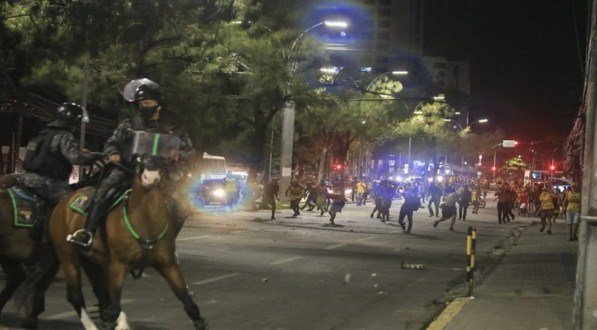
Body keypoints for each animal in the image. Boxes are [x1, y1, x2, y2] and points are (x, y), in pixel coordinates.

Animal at [47, 159, 205, 328]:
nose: (150, 177)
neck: (146, 222)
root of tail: (64, 201)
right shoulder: (119, 265)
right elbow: (113, 309)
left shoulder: (168, 265)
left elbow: (190, 306)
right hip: (68, 256)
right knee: (75, 295)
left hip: (92, 261)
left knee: (100, 293)